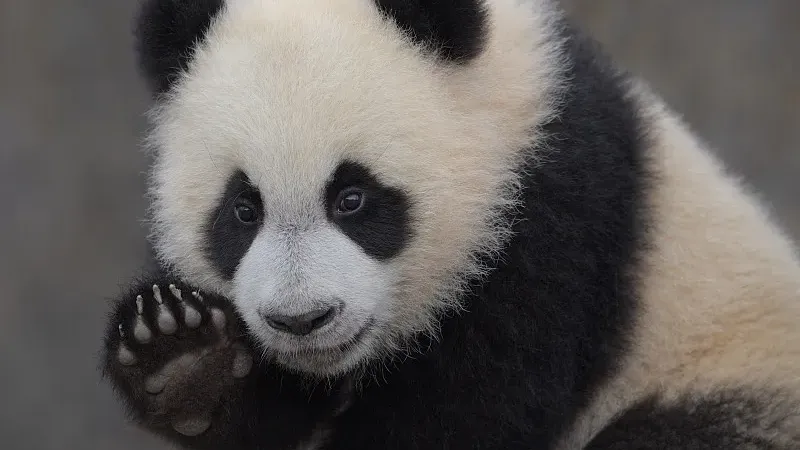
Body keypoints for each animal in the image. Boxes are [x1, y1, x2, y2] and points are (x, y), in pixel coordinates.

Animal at [101, 0, 800, 449]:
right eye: (243, 210)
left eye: (352, 198)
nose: (302, 320)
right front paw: (183, 361)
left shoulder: (552, 226)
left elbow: (469, 413)